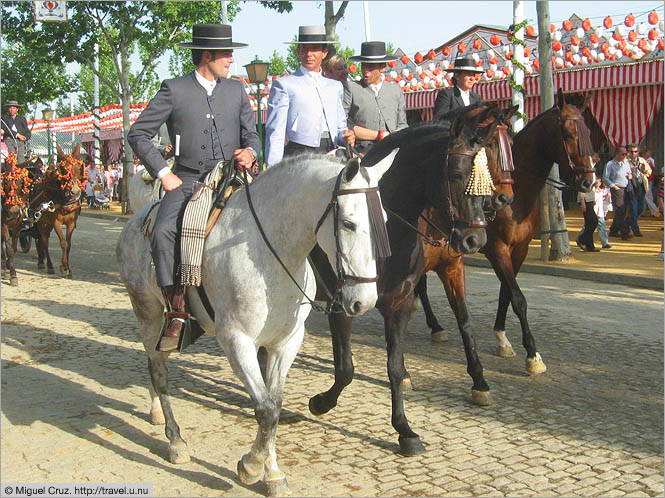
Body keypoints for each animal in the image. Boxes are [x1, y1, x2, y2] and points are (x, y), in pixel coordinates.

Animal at [28, 144, 86, 278]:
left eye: (79, 167)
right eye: (63, 169)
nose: (75, 191)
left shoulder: (71, 223)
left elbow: (69, 244)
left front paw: (68, 268)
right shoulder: (56, 222)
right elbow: (63, 243)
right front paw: (64, 267)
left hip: (48, 222)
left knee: (44, 237)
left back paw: (41, 260)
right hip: (40, 219)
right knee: (44, 239)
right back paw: (47, 264)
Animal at [306, 104, 504, 456]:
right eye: (456, 175)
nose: (475, 240)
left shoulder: (404, 296)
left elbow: (397, 365)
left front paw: (404, 430)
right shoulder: (342, 302)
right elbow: (345, 370)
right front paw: (321, 402)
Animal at [418, 89, 592, 380]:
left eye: (589, 132)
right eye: (568, 134)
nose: (589, 181)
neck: (517, 196)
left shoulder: (518, 249)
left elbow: (506, 293)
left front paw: (502, 338)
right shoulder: (497, 249)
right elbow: (518, 298)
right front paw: (532, 354)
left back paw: (434, 325)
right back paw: (434, 325)